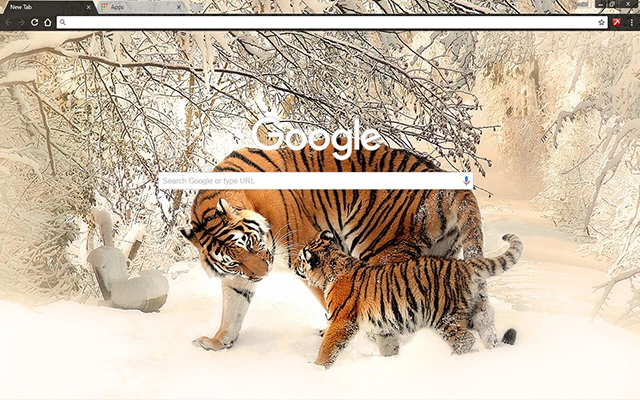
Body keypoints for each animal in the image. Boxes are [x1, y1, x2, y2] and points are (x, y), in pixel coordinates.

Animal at [181, 141, 493, 352]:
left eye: (251, 243)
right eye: (233, 261)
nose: (262, 274)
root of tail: (447, 182)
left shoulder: (307, 253)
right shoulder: (238, 278)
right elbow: (232, 309)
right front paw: (218, 342)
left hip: (380, 249)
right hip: (439, 257)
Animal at [295, 230, 523, 369]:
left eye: (300, 259)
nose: (295, 265)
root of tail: (464, 264)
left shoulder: (341, 321)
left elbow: (328, 347)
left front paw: (317, 368)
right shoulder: (383, 327)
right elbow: (388, 346)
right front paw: (392, 362)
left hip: (444, 316)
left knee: (465, 340)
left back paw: (453, 361)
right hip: (478, 310)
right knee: (488, 331)